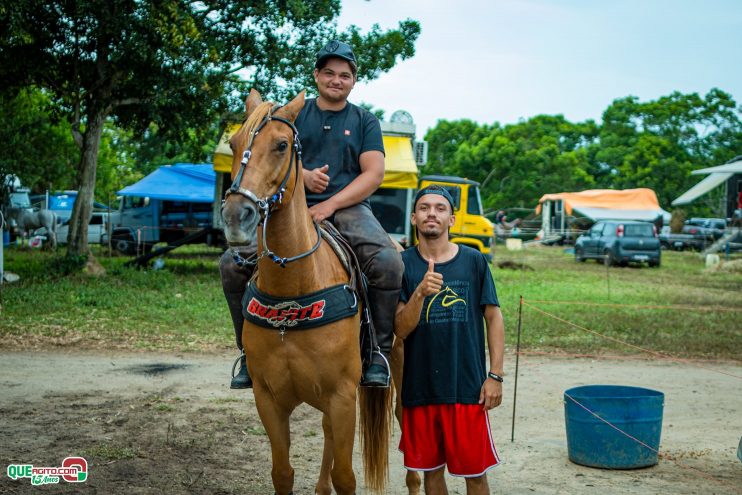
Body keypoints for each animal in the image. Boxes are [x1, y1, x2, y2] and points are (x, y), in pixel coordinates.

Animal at [221, 89, 396, 495]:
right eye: (234, 143)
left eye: (282, 145)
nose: (237, 216)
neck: (294, 287)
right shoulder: (268, 399)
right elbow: (282, 473)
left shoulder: (343, 396)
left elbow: (345, 477)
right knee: (328, 435)